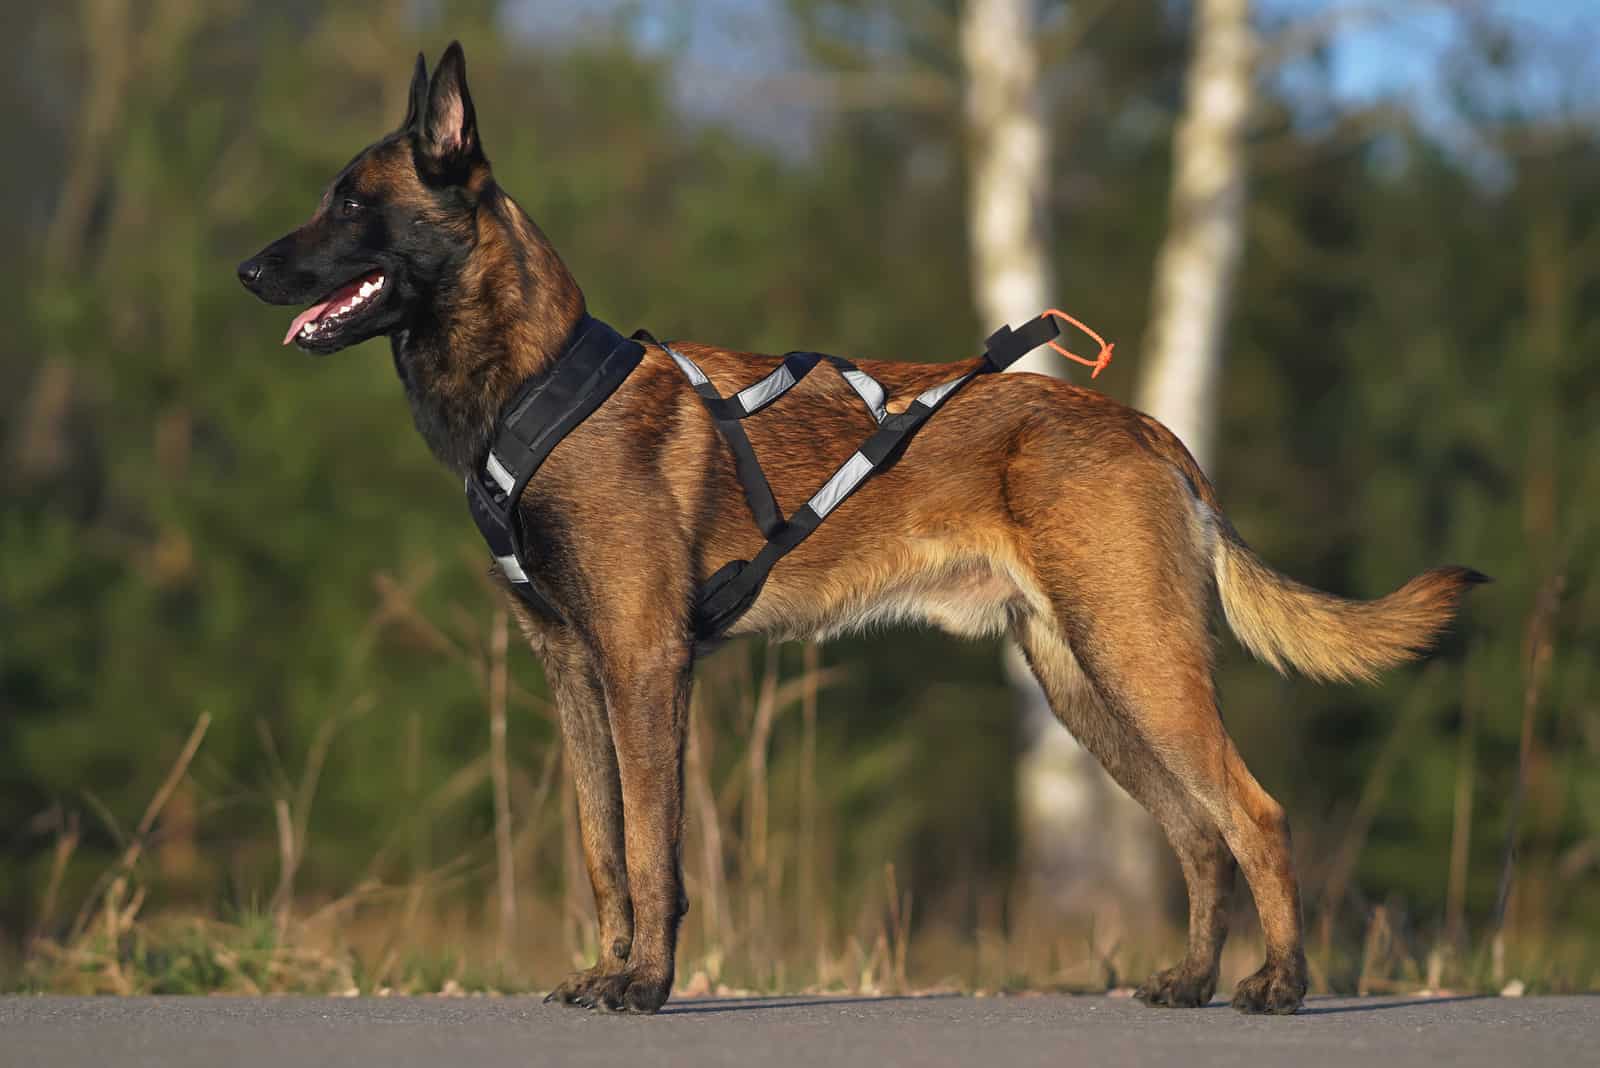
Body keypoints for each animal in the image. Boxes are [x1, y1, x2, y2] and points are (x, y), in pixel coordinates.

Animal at [236, 39, 1484, 1010]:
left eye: (351, 202)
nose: (246, 269)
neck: (534, 385)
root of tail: (1150, 429)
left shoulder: (644, 666)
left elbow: (650, 847)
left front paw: (647, 986)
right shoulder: (572, 670)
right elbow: (601, 848)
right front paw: (608, 974)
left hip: (1138, 663)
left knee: (1256, 817)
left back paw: (1279, 987)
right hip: (1085, 685)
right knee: (1196, 832)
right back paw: (1190, 982)